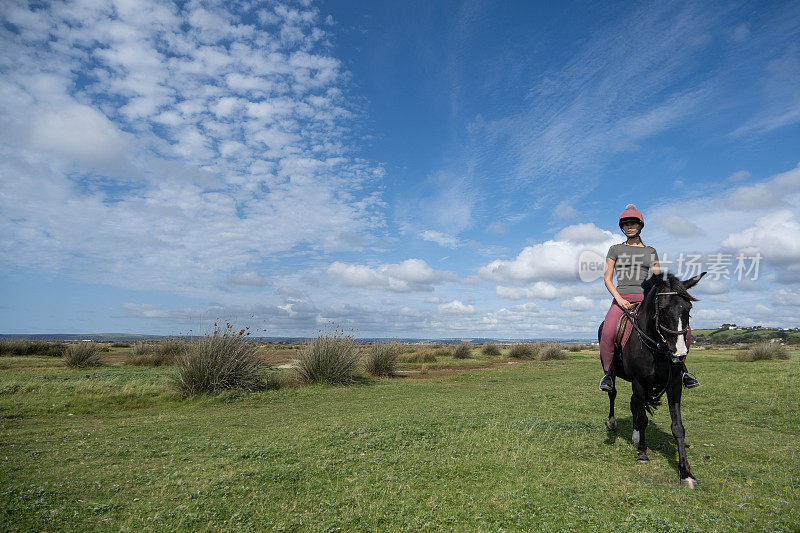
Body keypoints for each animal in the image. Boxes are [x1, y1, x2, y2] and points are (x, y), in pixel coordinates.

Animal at [600, 272, 708, 484]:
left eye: (688, 309)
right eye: (663, 309)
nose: (679, 353)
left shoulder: (674, 384)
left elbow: (678, 426)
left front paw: (686, 472)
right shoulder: (639, 382)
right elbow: (643, 419)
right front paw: (642, 453)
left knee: (634, 403)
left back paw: (635, 436)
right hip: (613, 372)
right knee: (613, 393)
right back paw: (613, 423)